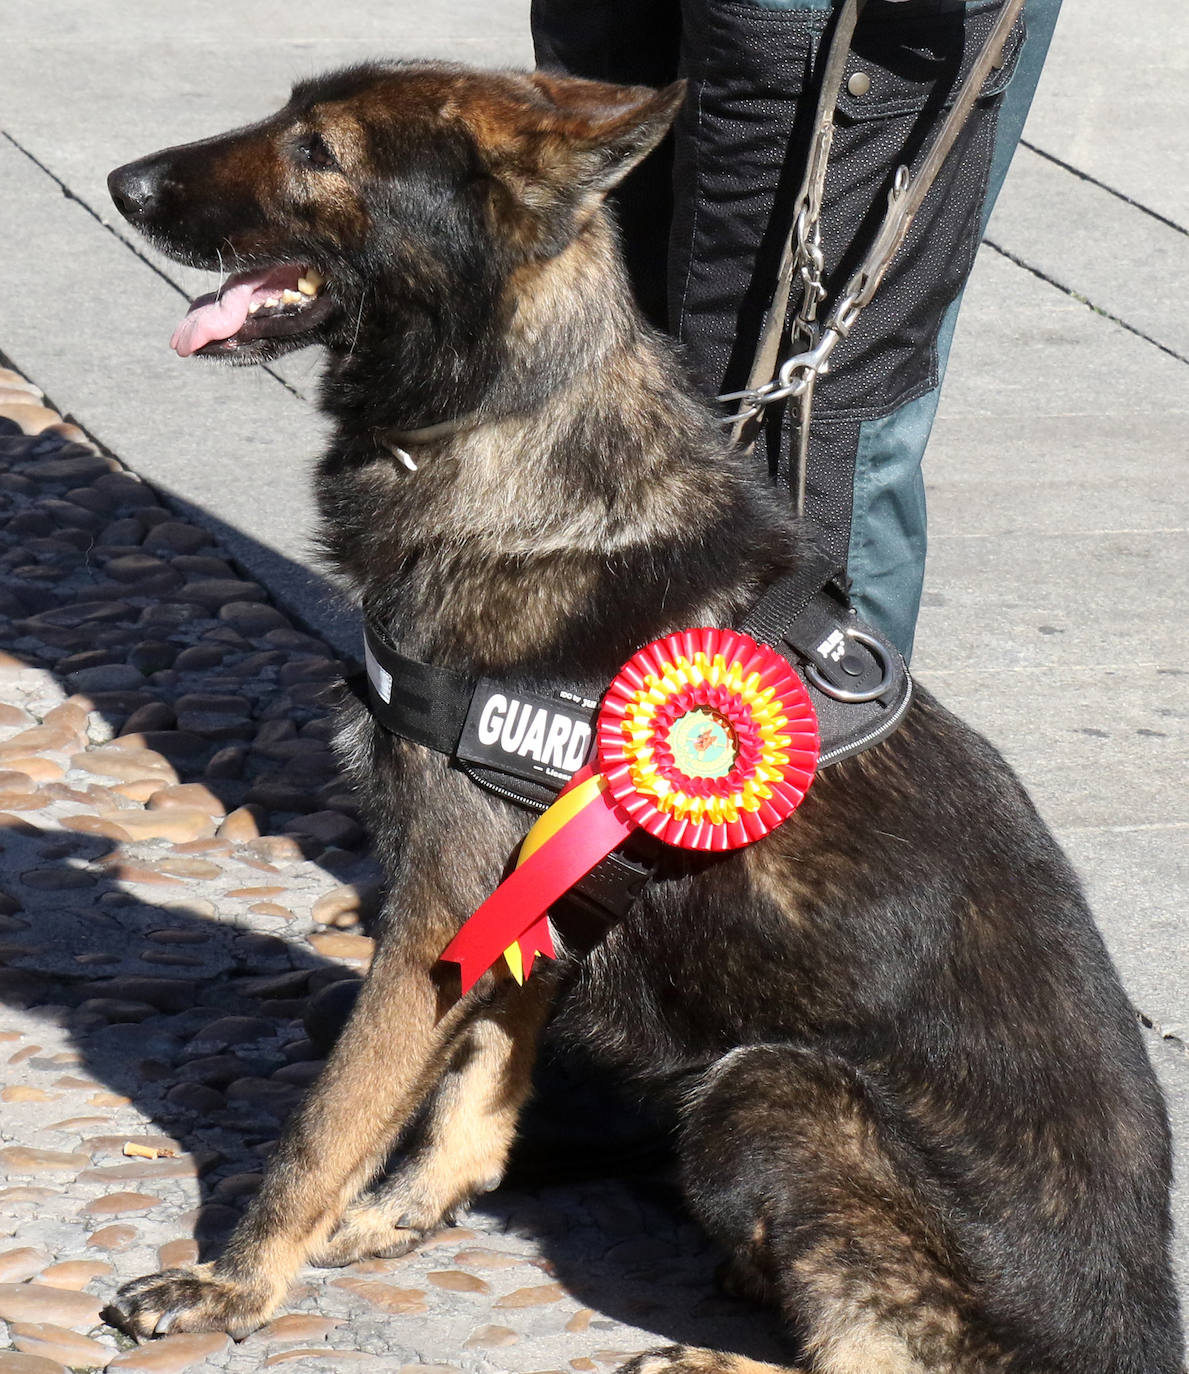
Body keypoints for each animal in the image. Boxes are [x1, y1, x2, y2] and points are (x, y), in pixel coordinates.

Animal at [109, 61, 1176, 1374]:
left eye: (317, 150)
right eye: (286, 117)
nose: (123, 183)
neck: (502, 432)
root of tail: (1131, 1337)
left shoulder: (434, 914)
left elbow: (329, 1122)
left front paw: (235, 1284)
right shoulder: (520, 912)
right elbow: (472, 1095)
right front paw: (409, 1211)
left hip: (768, 1090)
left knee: (878, 1346)